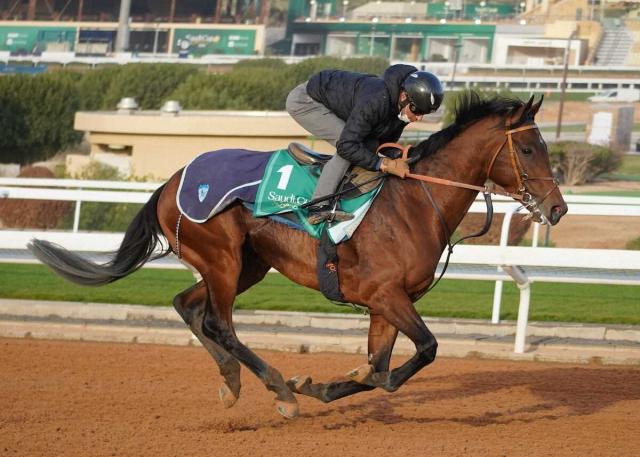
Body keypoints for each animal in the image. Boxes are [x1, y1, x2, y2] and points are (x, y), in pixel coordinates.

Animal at [30, 91, 568, 418]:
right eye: (530, 150)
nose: (558, 208)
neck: (416, 201)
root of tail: (171, 181)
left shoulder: (386, 303)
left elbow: (378, 367)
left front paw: (325, 386)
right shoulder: (386, 295)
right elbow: (417, 355)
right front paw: (308, 386)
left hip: (247, 264)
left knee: (188, 306)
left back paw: (232, 381)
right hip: (223, 257)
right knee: (218, 322)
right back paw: (279, 390)